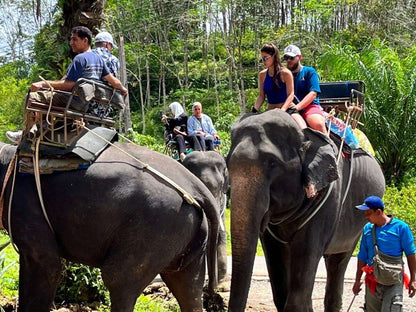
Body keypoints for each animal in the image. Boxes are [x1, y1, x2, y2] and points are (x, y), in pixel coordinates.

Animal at [0, 143, 221, 312]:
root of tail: (195, 185)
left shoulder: (25, 207)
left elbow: (48, 266)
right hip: (187, 233)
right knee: (187, 287)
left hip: (156, 226)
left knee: (118, 280)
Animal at [226, 108, 386, 310]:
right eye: (227, 163)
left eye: (272, 163)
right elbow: (276, 263)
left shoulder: (330, 196)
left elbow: (305, 253)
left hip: (358, 225)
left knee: (339, 260)